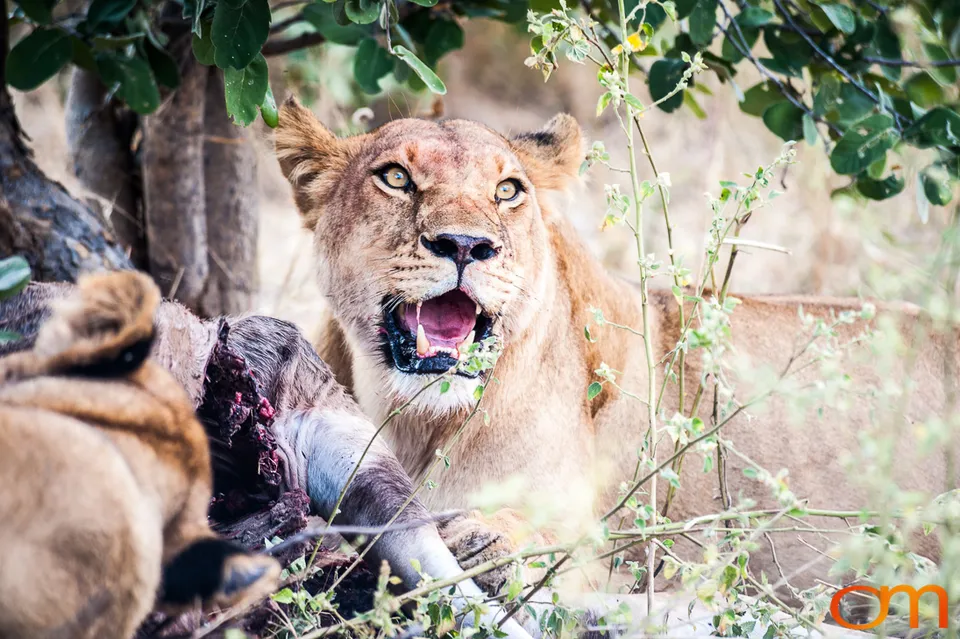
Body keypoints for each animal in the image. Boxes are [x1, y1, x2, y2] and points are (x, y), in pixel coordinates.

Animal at [274, 96, 959, 615]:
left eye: (507, 190)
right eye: (395, 177)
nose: (466, 245)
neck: (414, 418)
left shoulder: (614, 561)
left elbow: (551, 547)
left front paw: (490, 546)